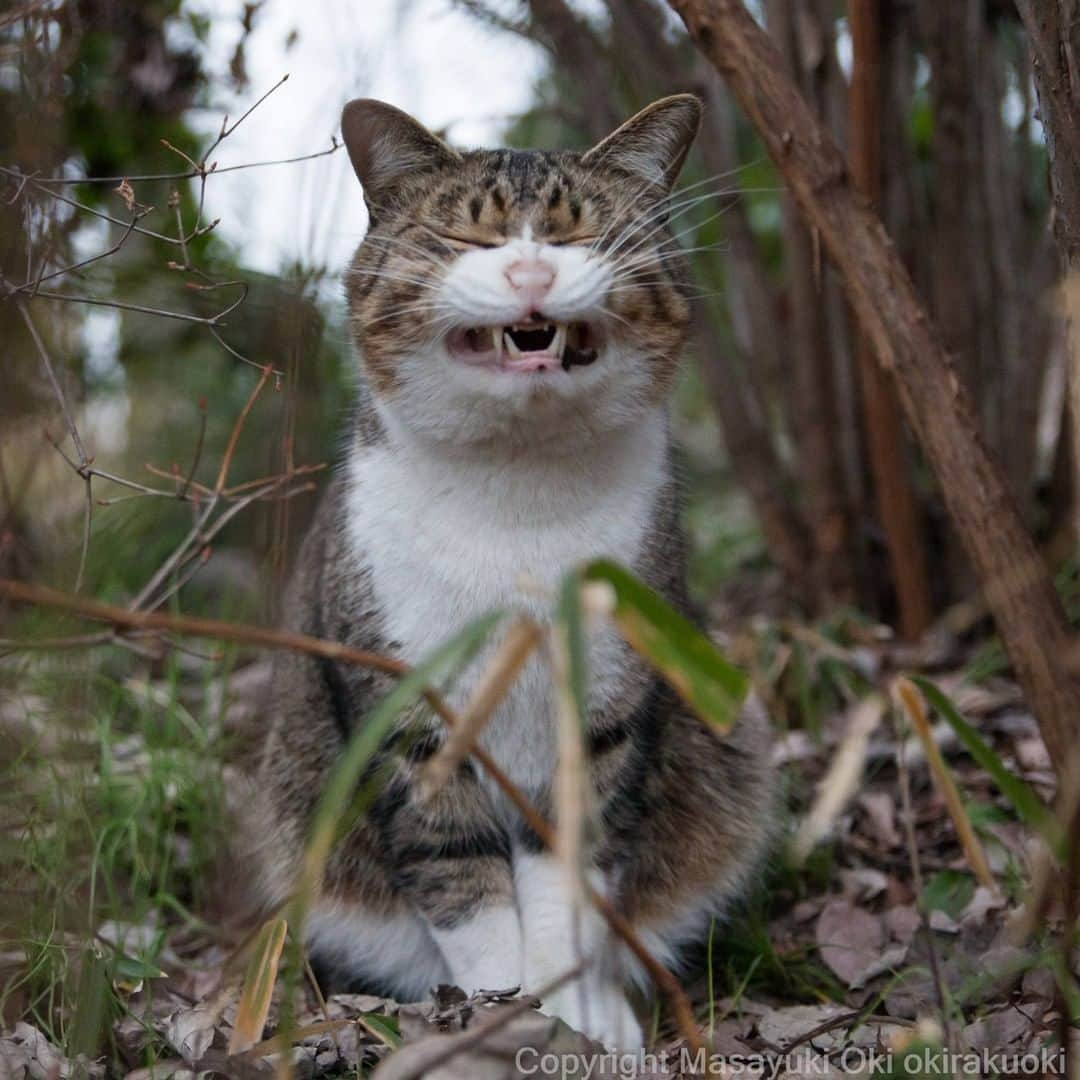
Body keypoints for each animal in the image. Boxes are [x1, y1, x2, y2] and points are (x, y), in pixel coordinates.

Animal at [250, 95, 777, 1054]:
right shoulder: (408, 715)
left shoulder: (607, 710)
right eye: (470, 236)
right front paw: (500, 1017)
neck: (520, 502)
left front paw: (582, 1019)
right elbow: (464, 885)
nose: (532, 271)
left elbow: (571, 875)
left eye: (583, 235)